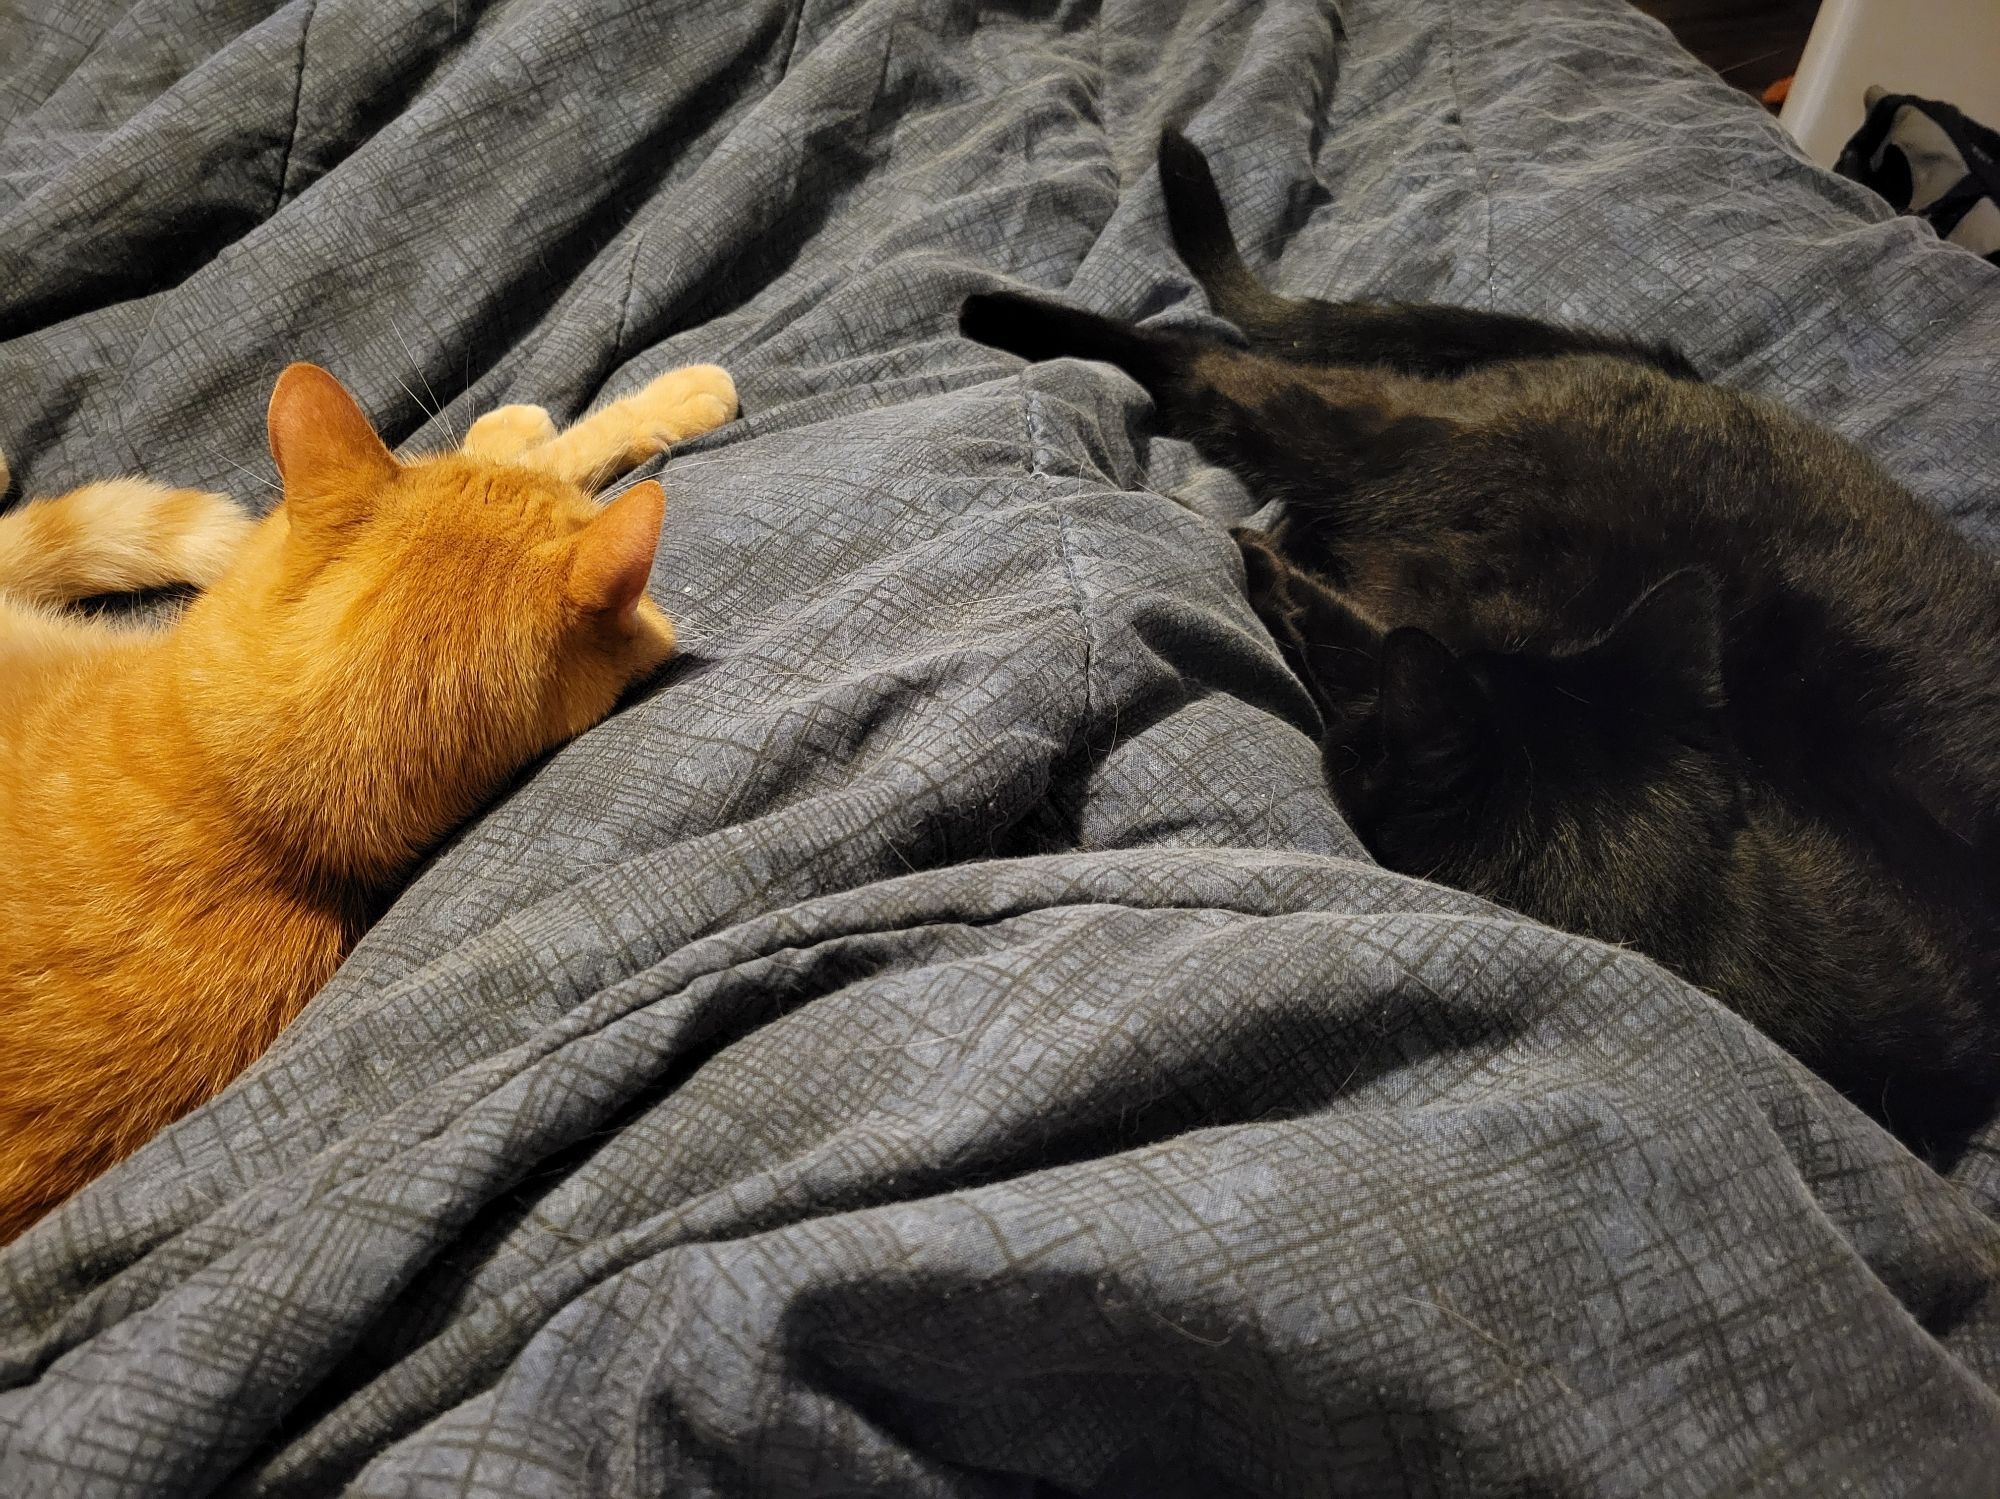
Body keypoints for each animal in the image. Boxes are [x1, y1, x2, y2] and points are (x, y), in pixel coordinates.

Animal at [956, 131, 2000, 1159]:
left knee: (1205, 368)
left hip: (1383, 447)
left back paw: (1002, 324)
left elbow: (1350, 639)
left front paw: (1260, 568)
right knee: (1209, 364)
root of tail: (1685, 376)